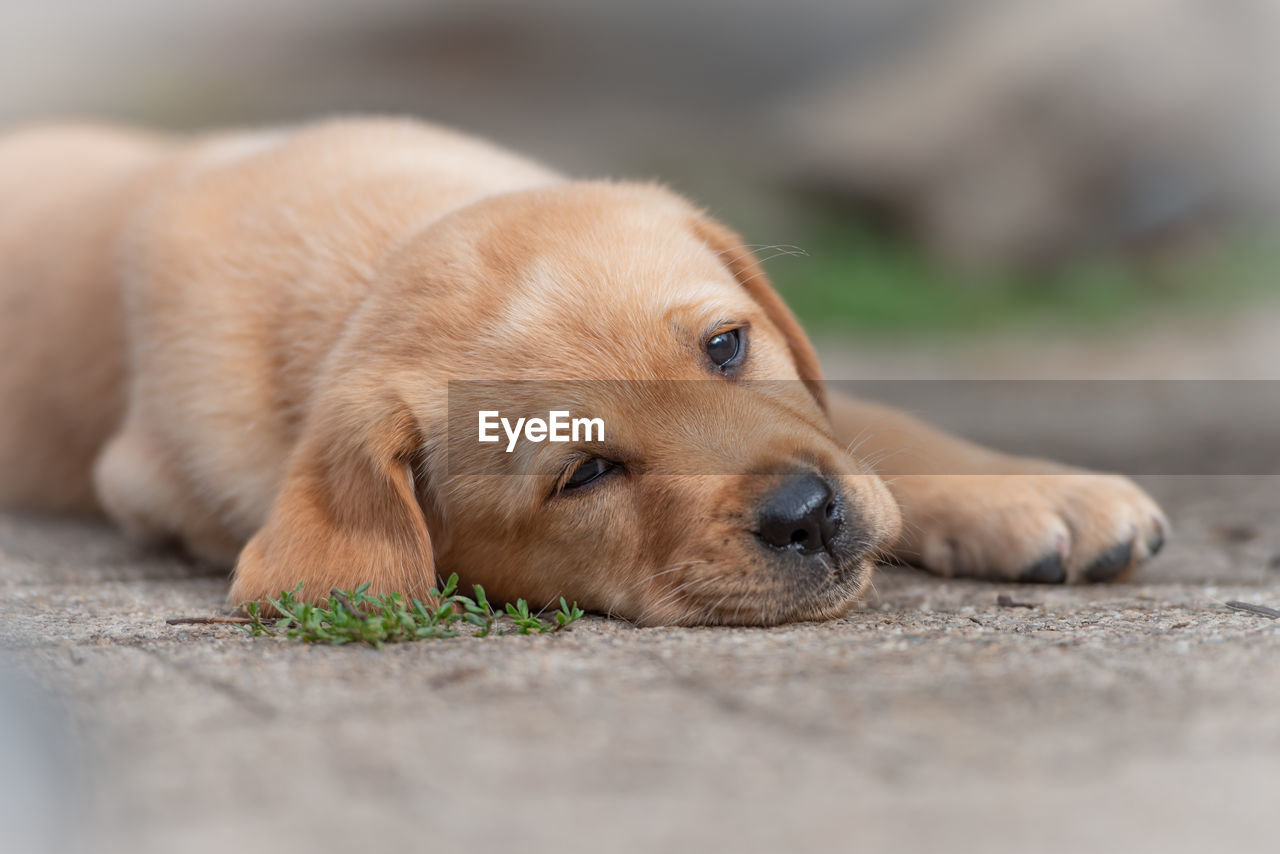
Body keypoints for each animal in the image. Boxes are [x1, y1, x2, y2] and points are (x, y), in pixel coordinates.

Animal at [0, 118, 1162, 627]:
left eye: (727, 347)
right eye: (585, 473)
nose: (808, 515)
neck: (371, 249)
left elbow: (873, 423)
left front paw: (1038, 492)